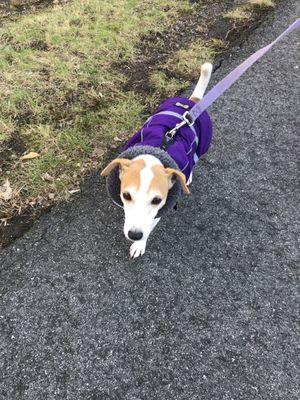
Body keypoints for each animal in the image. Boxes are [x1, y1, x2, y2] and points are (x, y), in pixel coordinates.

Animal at [101, 61, 213, 256]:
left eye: (157, 200)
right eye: (126, 195)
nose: (135, 234)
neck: (156, 151)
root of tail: (192, 102)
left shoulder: (160, 211)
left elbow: (150, 225)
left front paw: (139, 244)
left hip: (202, 144)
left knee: (193, 162)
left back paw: (188, 176)